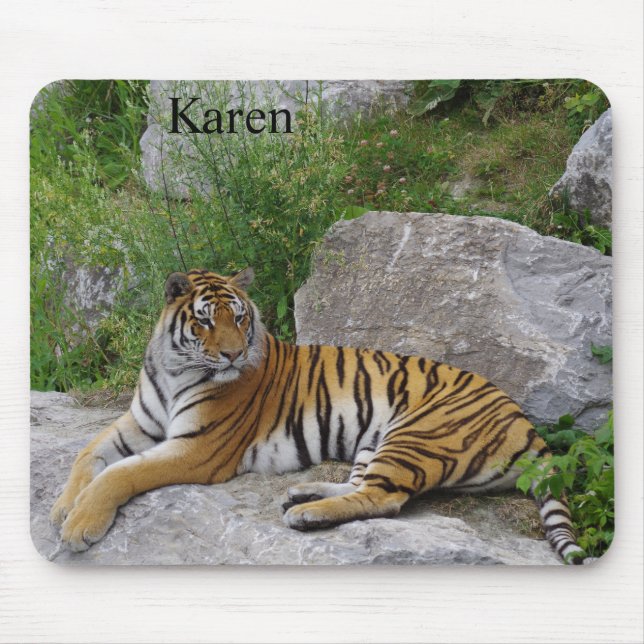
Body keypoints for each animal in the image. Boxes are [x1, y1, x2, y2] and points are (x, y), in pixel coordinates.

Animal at [51, 267, 585, 563]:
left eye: (239, 317)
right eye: (204, 320)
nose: (231, 355)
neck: (173, 368)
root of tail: (525, 422)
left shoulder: (197, 449)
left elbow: (121, 474)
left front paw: (80, 525)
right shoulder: (139, 422)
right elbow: (87, 455)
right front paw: (62, 507)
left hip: (416, 434)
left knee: (383, 500)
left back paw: (305, 515)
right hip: (374, 440)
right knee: (360, 485)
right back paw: (303, 493)